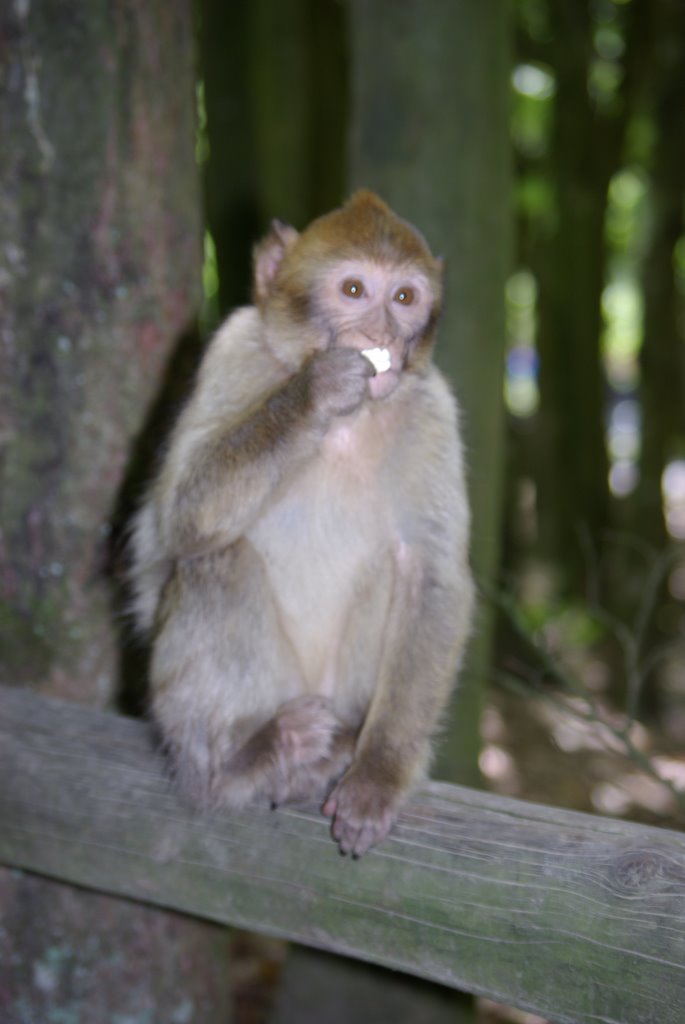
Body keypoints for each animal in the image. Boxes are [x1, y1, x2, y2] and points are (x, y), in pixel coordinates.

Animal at [127, 192, 473, 856]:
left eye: (405, 298)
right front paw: (313, 393)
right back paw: (243, 761)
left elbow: (432, 577)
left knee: (394, 569)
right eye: (355, 289)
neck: (351, 423)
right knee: (217, 558)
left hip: (338, 690)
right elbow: (182, 517)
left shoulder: (432, 410)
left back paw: (342, 748)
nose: (381, 335)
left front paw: (379, 775)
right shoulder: (232, 351)